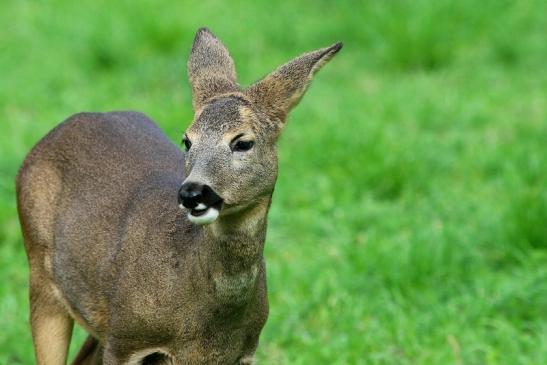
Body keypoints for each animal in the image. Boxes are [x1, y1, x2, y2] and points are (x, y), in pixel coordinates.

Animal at [16, 28, 342, 364]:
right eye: (187, 140)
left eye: (243, 142)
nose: (192, 192)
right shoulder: (124, 340)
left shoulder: (245, 349)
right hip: (40, 274)